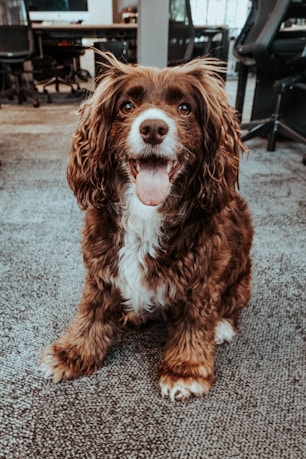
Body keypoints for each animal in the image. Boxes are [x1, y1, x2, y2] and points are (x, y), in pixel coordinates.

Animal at [39, 52, 252, 400]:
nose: (153, 127)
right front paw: (71, 353)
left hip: (242, 277)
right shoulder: (101, 268)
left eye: (184, 108)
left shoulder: (202, 277)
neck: (147, 212)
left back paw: (221, 325)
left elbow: (194, 323)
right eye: (127, 106)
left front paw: (185, 370)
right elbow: (90, 313)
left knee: (232, 306)